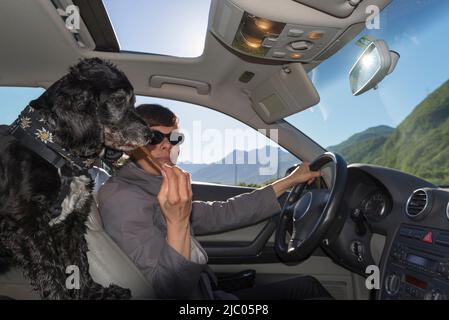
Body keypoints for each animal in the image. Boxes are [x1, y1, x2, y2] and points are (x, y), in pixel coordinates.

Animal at [0, 58, 152, 300]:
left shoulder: (73, 222)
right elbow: (50, 271)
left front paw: (94, 293)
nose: (150, 135)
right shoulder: (25, 228)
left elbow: (78, 262)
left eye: (133, 101)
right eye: (119, 100)